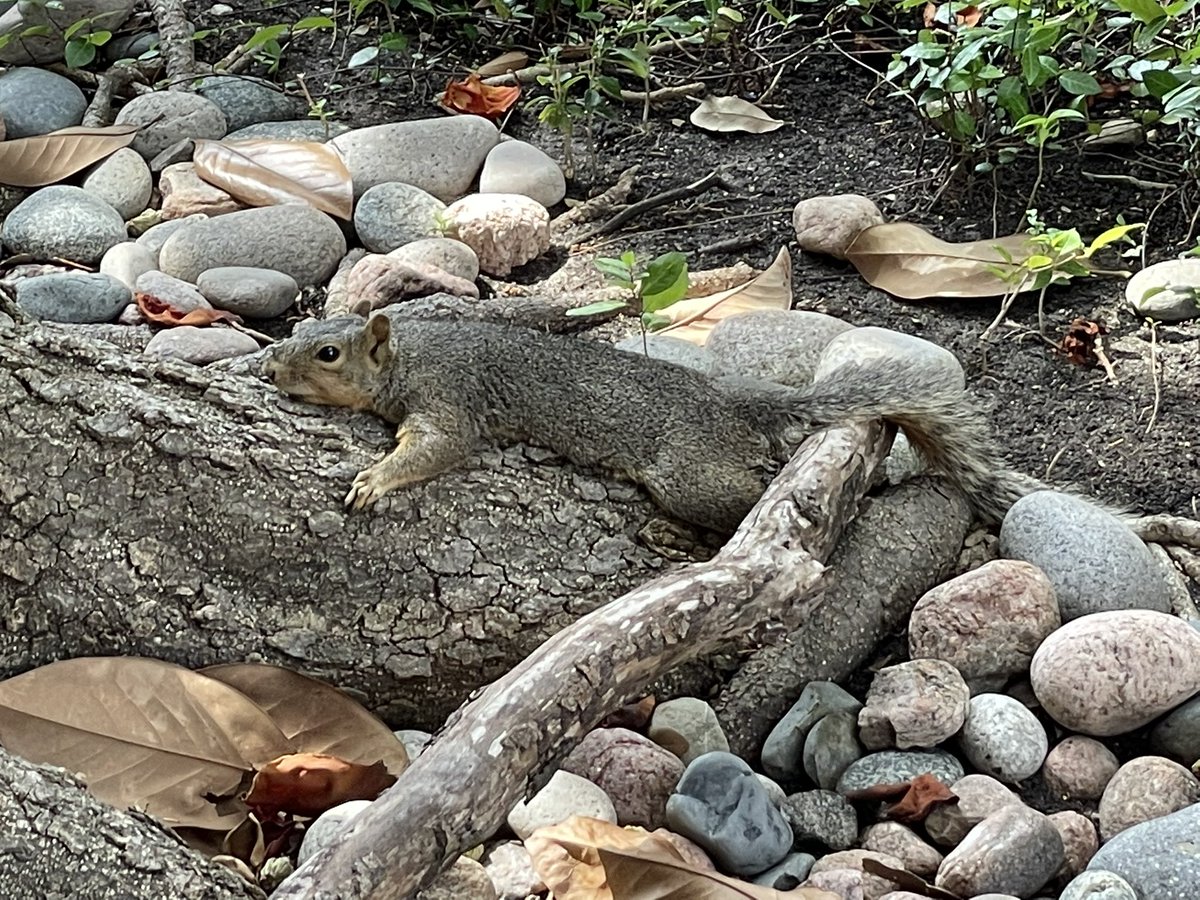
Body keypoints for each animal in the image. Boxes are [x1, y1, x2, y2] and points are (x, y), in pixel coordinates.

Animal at [261, 309, 1048, 534]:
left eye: (328, 354)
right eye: (298, 327)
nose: (271, 368)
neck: (409, 351)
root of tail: (732, 405)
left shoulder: (449, 396)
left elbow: (436, 447)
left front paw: (375, 479)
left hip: (689, 475)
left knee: (747, 491)